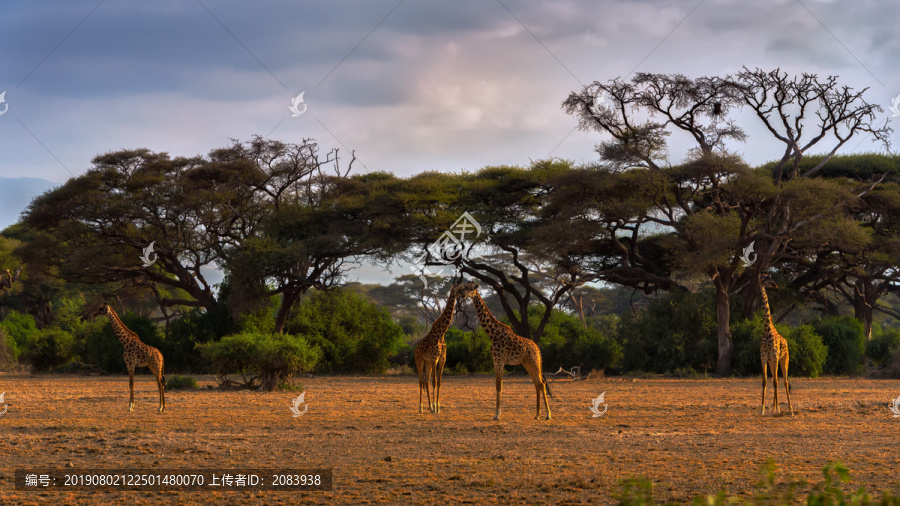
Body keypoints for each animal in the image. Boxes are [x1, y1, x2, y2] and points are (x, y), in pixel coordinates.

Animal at [412, 286, 460, 414]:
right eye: (460, 288)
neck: (441, 334)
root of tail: (415, 348)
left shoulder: (442, 359)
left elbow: (438, 382)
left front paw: (437, 406)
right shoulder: (435, 359)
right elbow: (434, 382)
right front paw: (434, 406)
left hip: (427, 362)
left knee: (426, 381)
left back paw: (429, 406)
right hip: (419, 361)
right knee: (421, 381)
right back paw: (421, 408)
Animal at [454, 280, 552, 420]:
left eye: (470, 289)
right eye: (464, 288)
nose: (462, 294)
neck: (492, 333)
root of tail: (538, 350)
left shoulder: (499, 360)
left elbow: (499, 386)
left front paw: (497, 414)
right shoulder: (496, 361)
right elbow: (498, 385)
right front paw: (497, 413)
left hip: (533, 362)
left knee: (541, 383)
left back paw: (548, 414)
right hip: (527, 363)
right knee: (537, 383)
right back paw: (537, 414)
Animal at [760, 274, 796, 418]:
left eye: (770, 277)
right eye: (764, 279)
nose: (775, 285)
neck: (767, 331)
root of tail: (786, 341)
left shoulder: (775, 356)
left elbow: (775, 382)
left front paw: (774, 410)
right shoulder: (764, 357)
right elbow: (765, 381)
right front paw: (763, 410)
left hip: (784, 358)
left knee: (784, 381)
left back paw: (790, 410)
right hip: (772, 361)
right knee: (776, 380)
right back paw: (778, 409)